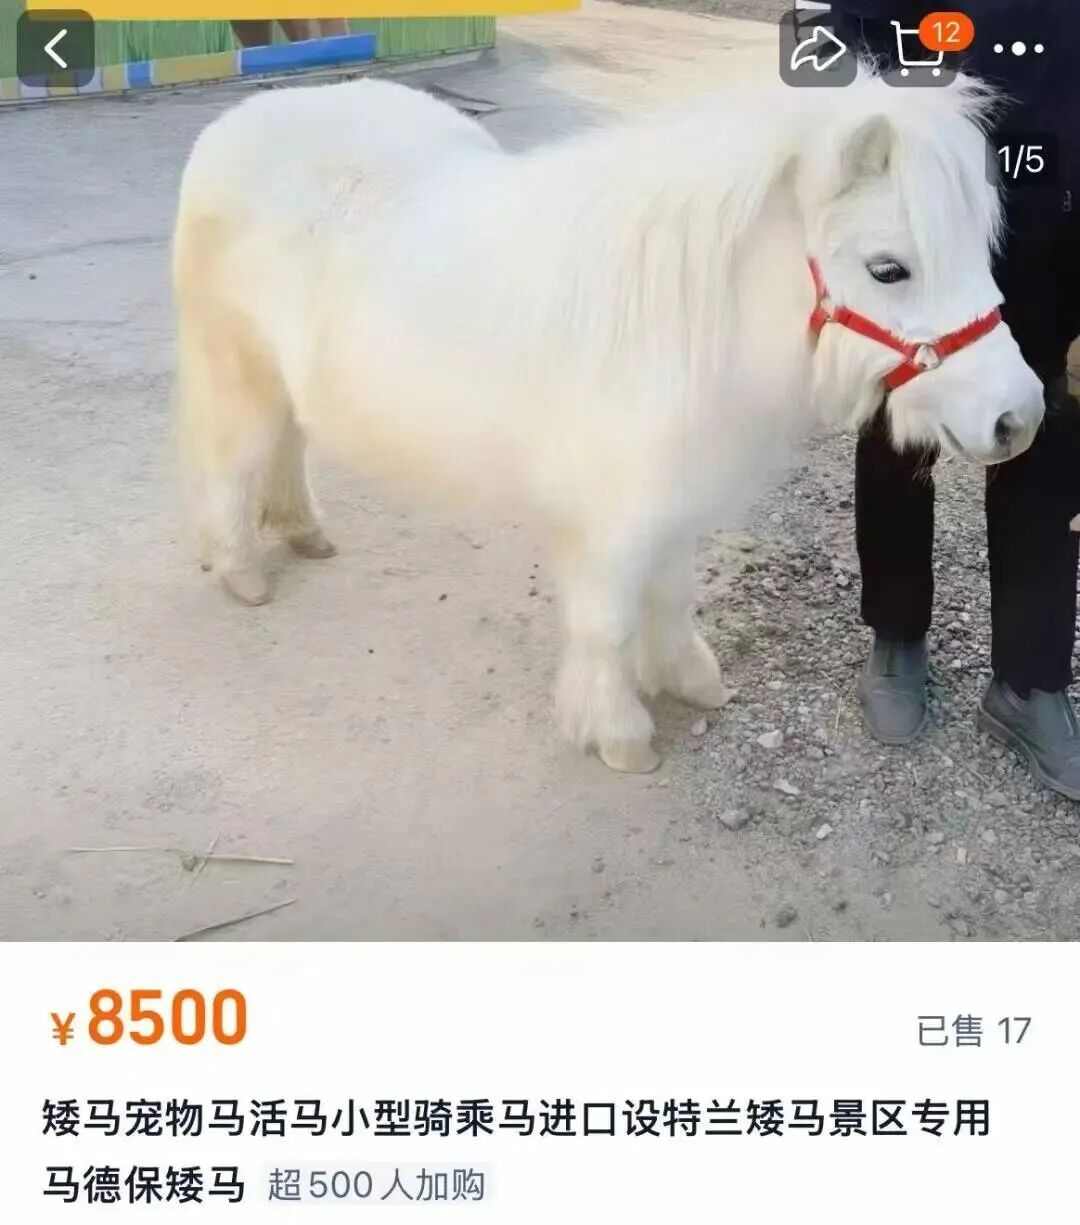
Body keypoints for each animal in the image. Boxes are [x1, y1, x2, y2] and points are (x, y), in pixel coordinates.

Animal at [172, 68, 1044, 774]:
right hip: (239, 373)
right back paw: (243, 569)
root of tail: (235, 127)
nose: (1021, 416)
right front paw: (619, 731)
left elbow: (672, 595)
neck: (685, 316)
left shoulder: (672, 502)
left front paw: (689, 679)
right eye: (888, 268)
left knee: (285, 449)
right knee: (232, 467)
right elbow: (606, 621)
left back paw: (303, 532)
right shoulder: (610, 522)